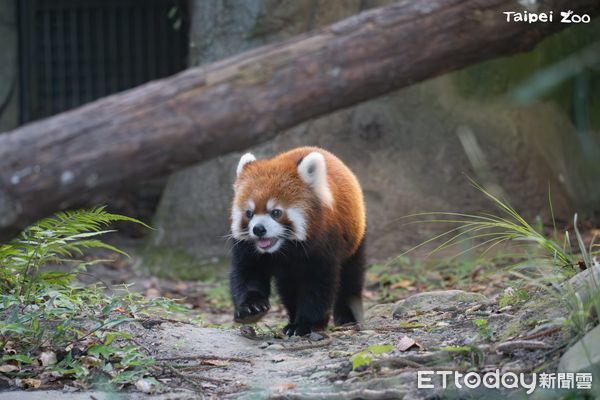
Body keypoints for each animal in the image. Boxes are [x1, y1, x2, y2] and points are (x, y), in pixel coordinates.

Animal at [229, 146, 366, 334]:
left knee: (350, 277)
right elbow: (247, 274)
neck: (285, 249)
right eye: (249, 213)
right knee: (288, 288)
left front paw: (306, 324)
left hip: (355, 239)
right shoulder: (249, 249)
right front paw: (251, 309)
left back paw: (347, 317)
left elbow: (318, 284)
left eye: (276, 212)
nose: (258, 229)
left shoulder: (323, 244)